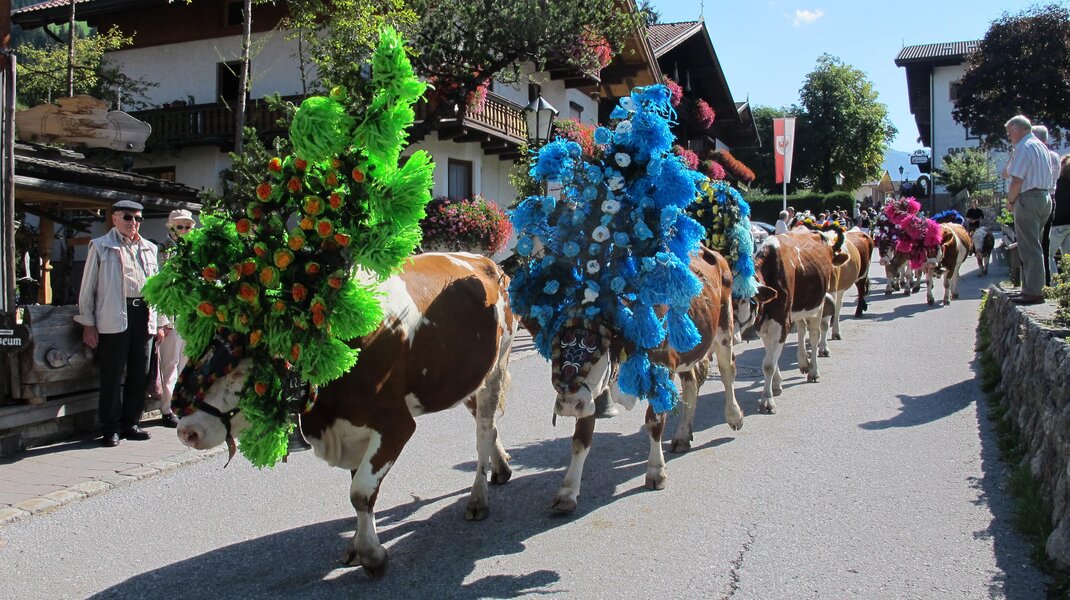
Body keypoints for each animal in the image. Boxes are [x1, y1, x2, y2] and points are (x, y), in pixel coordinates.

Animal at [173, 253, 516, 576]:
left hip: (495, 369)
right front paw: (355, 545)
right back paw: (501, 469)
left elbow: (360, 492)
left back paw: (478, 498)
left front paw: (371, 554)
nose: (185, 431)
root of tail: (487, 262)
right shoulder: (351, 431)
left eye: (239, 372)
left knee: (483, 433)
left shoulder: (395, 425)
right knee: (490, 428)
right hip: (466, 379)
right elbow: (358, 489)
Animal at [540, 247, 742, 514]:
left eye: (596, 350)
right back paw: (682, 436)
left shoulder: (663, 370)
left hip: (724, 326)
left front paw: (656, 472)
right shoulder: (591, 395)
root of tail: (711, 252)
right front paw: (567, 492)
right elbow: (580, 439)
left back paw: (734, 416)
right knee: (691, 384)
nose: (569, 405)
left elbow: (654, 422)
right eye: (556, 349)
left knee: (727, 371)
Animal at [735, 230, 850, 414]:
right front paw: (776, 384)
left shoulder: (782, 323)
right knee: (802, 329)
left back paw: (813, 371)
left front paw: (767, 400)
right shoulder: (764, 326)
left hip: (817, 306)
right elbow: (770, 355)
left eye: (745, 300)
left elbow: (768, 364)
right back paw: (803, 361)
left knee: (815, 335)